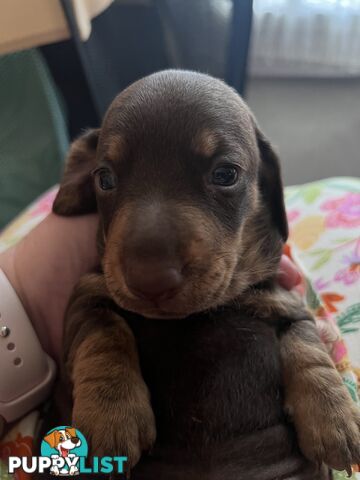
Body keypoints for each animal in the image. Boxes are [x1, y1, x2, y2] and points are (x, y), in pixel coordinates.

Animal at [53, 68, 360, 480]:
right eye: (105, 179)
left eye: (225, 174)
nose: (150, 281)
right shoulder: (88, 295)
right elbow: (104, 333)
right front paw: (109, 414)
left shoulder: (286, 306)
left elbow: (308, 346)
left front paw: (335, 416)